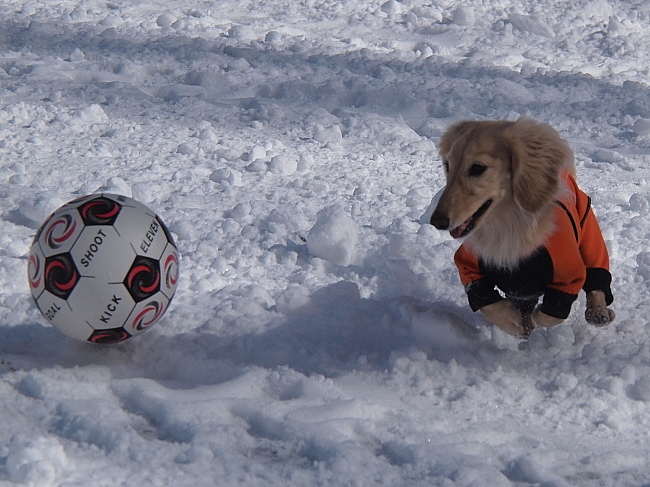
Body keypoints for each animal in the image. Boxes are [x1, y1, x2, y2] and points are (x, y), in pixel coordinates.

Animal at [430, 118, 612, 340]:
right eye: (447, 165)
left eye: (478, 168)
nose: (436, 221)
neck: (507, 227)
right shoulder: (470, 266)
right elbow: (489, 305)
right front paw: (515, 322)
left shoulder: (569, 273)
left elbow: (550, 314)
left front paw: (530, 320)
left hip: (589, 236)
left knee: (597, 278)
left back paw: (599, 312)